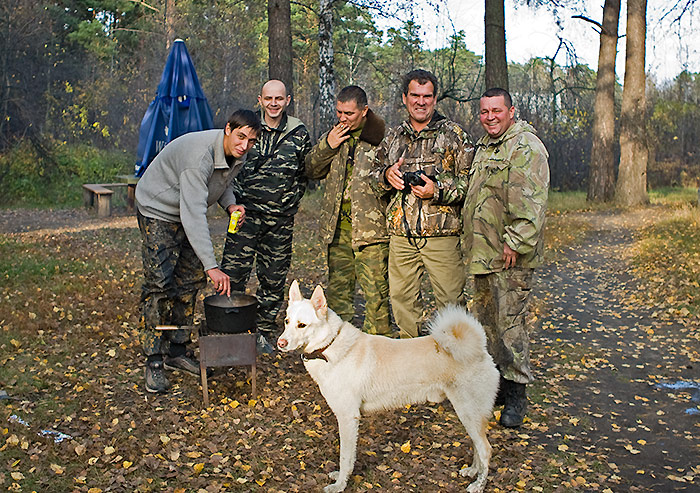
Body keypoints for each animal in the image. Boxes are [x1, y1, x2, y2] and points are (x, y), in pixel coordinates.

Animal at [276, 280, 500, 492]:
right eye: (287, 321)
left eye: (302, 325)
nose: (280, 343)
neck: (330, 345)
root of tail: (480, 348)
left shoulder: (348, 418)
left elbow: (346, 458)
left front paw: (340, 485)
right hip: (469, 414)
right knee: (477, 445)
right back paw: (473, 471)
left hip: (468, 411)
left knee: (486, 450)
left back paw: (479, 485)